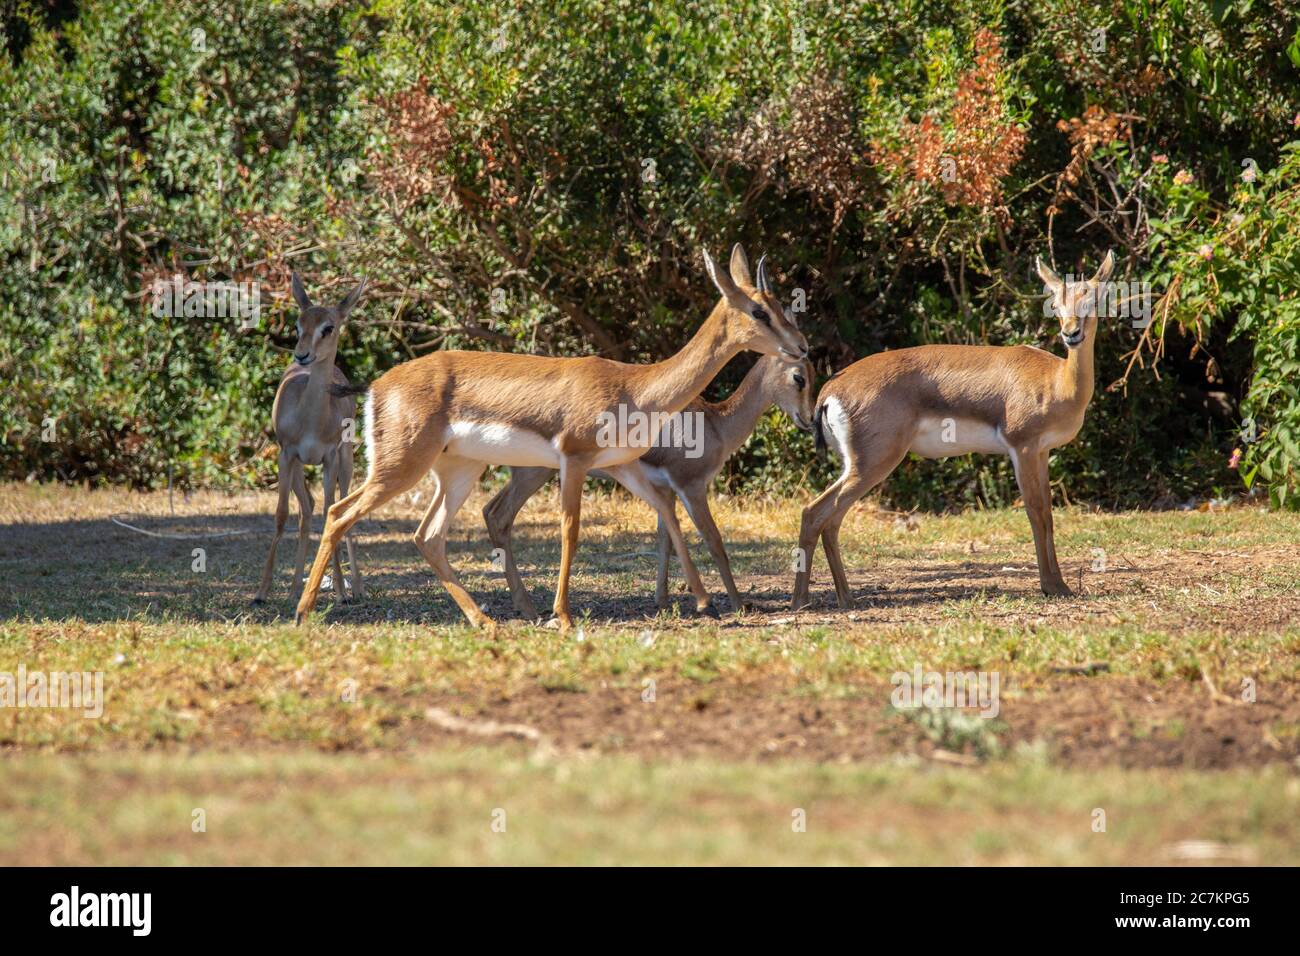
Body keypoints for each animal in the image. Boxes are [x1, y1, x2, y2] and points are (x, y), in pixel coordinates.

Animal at [253, 273, 367, 605]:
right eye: (297, 324)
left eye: (328, 327)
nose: (302, 354)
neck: (311, 419)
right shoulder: (287, 454)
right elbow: (282, 515)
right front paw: (262, 592)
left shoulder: (329, 457)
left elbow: (332, 513)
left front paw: (341, 591)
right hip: (297, 469)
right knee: (307, 509)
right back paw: (294, 589)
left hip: (345, 461)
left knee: (342, 507)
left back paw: (355, 588)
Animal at [483, 350, 817, 618]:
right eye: (798, 376)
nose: (809, 420)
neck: (716, 425)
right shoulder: (690, 486)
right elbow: (714, 539)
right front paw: (738, 604)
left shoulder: (666, 491)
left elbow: (665, 536)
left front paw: (663, 600)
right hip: (535, 472)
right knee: (498, 514)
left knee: (492, 512)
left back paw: (524, 607)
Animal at [790, 251, 1114, 610]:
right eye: (1055, 304)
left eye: (1093, 298)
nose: (1071, 333)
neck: (1058, 381)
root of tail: (830, 392)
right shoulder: (1024, 448)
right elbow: (1036, 513)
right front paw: (1052, 585)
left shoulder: (1042, 452)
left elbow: (1049, 514)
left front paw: (1059, 584)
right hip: (873, 464)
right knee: (815, 512)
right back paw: (800, 601)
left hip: (856, 466)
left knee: (829, 519)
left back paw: (844, 597)